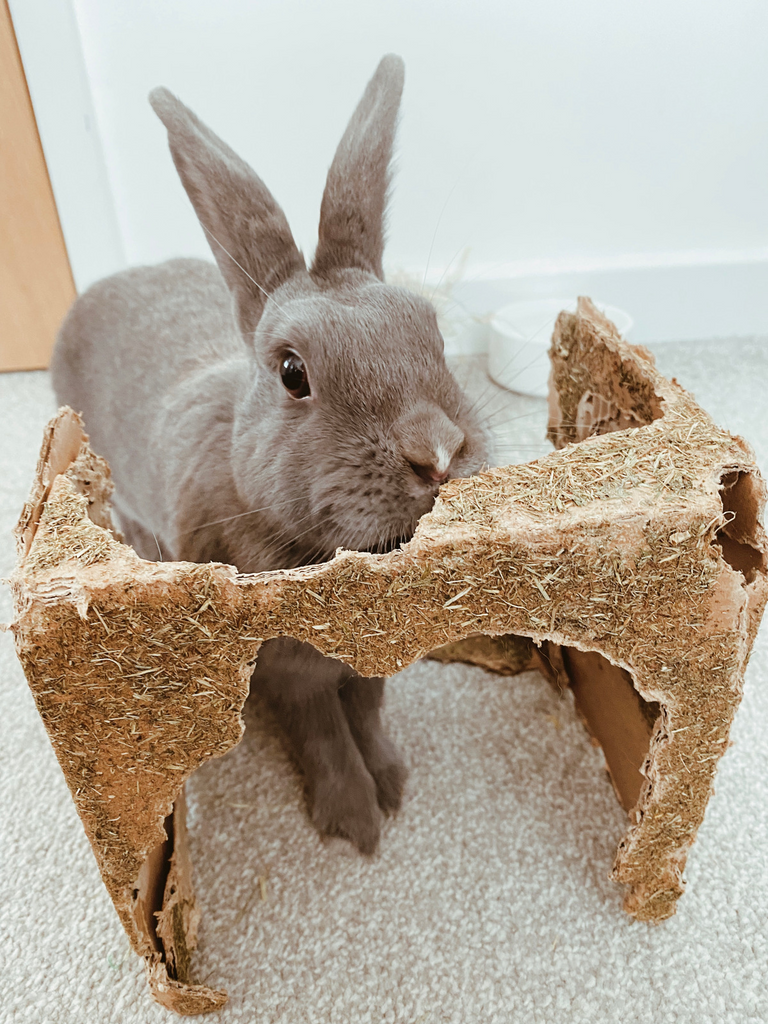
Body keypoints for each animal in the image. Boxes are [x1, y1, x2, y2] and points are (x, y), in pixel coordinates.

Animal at [52, 56, 487, 856]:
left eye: (434, 334)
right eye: (292, 373)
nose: (438, 454)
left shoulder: (365, 669)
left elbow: (369, 709)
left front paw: (392, 781)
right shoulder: (289, 674)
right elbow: (324, 732)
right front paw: (355, 820)